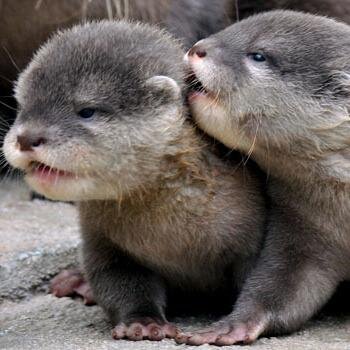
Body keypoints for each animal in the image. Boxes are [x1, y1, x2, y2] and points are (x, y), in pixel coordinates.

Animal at [3, 19, 266, 342]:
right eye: (21, 105)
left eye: (87, 111)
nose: (26, 138)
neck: (173, 235)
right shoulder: (103, 240)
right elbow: (118, 283)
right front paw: (143, 322)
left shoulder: (253, 236)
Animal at [178, 9, 350, 346]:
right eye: (231, 28)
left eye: (258, 55)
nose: (197, 48)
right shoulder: (305, 230)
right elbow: (278, 287)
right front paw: (232, 325)